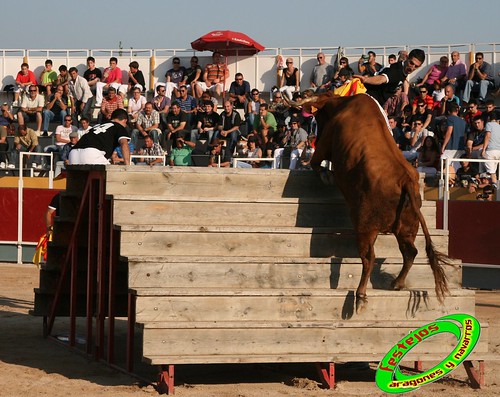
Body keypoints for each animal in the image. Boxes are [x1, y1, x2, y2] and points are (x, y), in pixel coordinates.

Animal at [296, 91, 450, 310]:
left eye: (319, 117)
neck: (340, 105)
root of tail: (406, 180)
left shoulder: (326, 141)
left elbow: (316, 161)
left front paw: (326, 174)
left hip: (365, 226)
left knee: (369, 257)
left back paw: (360, 295)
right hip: (407, 228)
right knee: (410, 252)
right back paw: (397, 283)